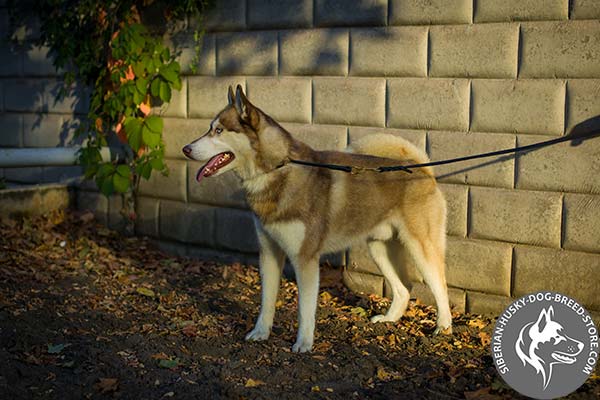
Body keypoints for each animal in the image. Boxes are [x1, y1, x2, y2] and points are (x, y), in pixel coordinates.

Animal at [182, 86, 450, 352]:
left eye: (218, 130)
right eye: (210, 128)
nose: (186, 149)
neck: (276, 170)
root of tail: (421, 168)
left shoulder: (305, 259)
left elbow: (305, 309)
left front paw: (303, 343)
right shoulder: (269, 253)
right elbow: (266, 301)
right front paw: (261, 332)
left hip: (421, 248)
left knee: (440, 285)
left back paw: (443, 327)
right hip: (379, 248)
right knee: (404, 289)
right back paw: (388, 319)